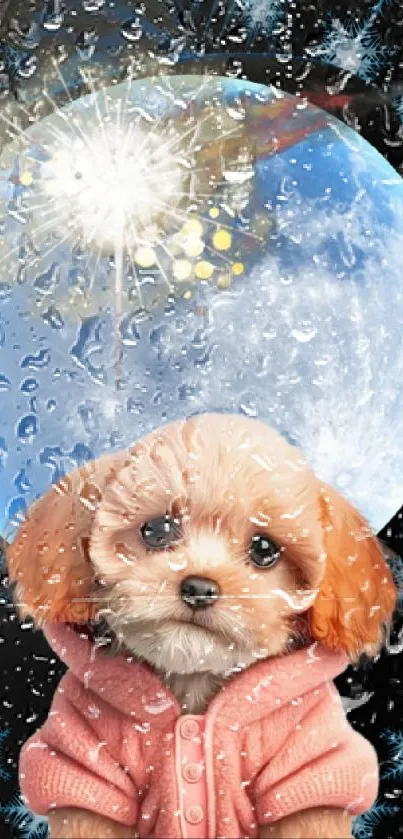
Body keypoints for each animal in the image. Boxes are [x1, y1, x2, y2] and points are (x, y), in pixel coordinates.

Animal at [7, 416, 398, 839]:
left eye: (264, 549)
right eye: (157, 530)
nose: (198, 588)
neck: (193, 683)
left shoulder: (309, 766)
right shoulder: (85, 759)